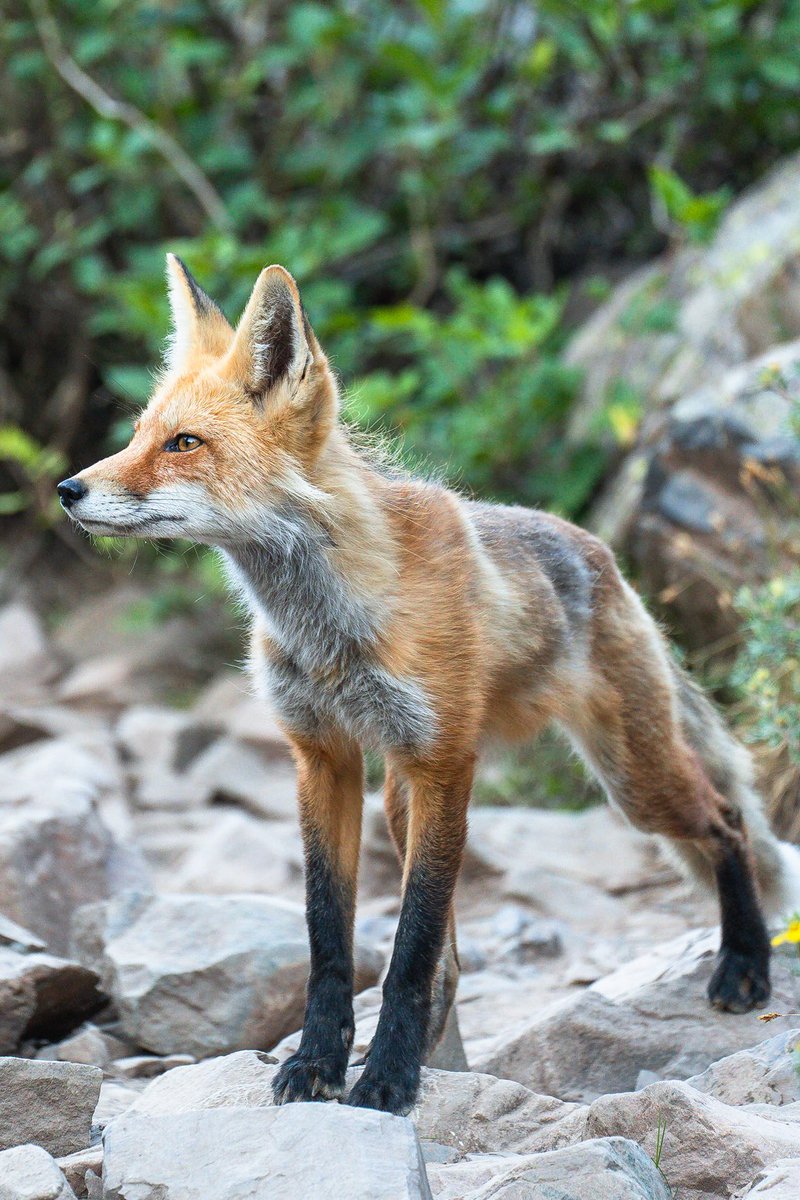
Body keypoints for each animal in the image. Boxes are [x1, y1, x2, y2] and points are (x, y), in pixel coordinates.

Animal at [58, 256, 800, 1115]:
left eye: (185, 444)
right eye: (139, 435)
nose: (67, 490)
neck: (331, 628)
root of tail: (601, 554)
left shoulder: (445, 762)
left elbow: (408, 948)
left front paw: (386, 1078)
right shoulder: (324, 758)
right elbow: (332, 938)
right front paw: (320, 1062)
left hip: (629, 781)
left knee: (727, 823)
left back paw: (744, 966)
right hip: (401, 798)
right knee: (453, 952)